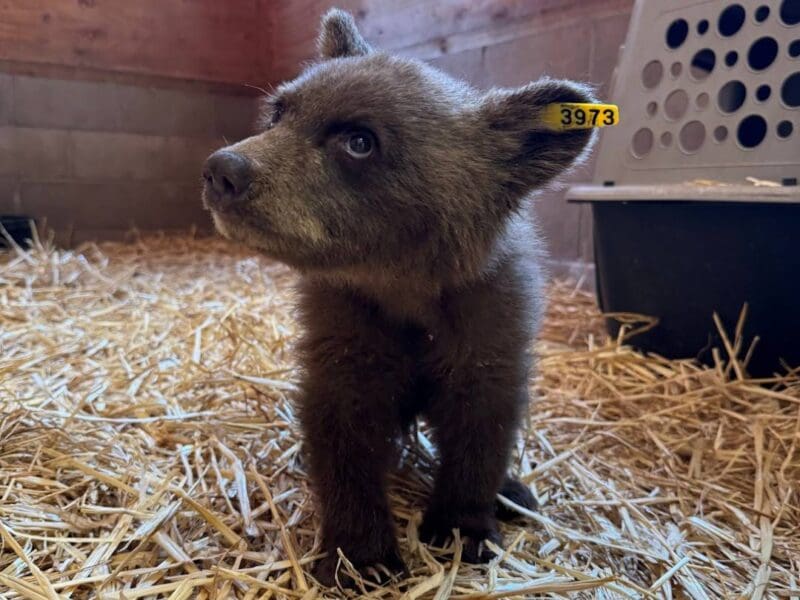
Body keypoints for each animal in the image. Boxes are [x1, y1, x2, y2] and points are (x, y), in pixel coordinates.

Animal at [202, 8, 595, 588]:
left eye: (359, 140)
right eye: (278, 112)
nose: (222, 171)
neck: (403, 289)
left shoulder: (486, 336)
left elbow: (480, 435)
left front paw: (463, 527)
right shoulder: (347, 337)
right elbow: (345, 441)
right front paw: (361, 553)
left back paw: (514, 491)